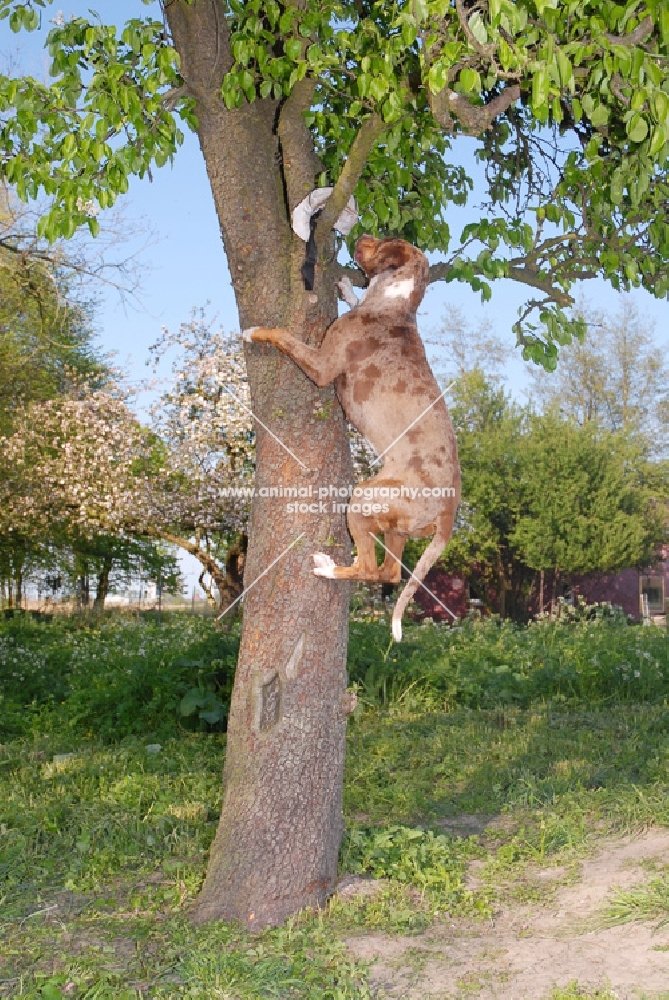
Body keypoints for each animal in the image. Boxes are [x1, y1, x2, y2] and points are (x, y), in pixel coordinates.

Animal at [244, 238, 460, 636]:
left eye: (384, 238)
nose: (358, 237)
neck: (394, 301)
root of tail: (449, 513)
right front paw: (346, 288)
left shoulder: (322, 366)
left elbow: (282, 335)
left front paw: (253, 332)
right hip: (395, 528)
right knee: (389, 573)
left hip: (363, 499)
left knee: (368, 569)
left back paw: (328, 568)